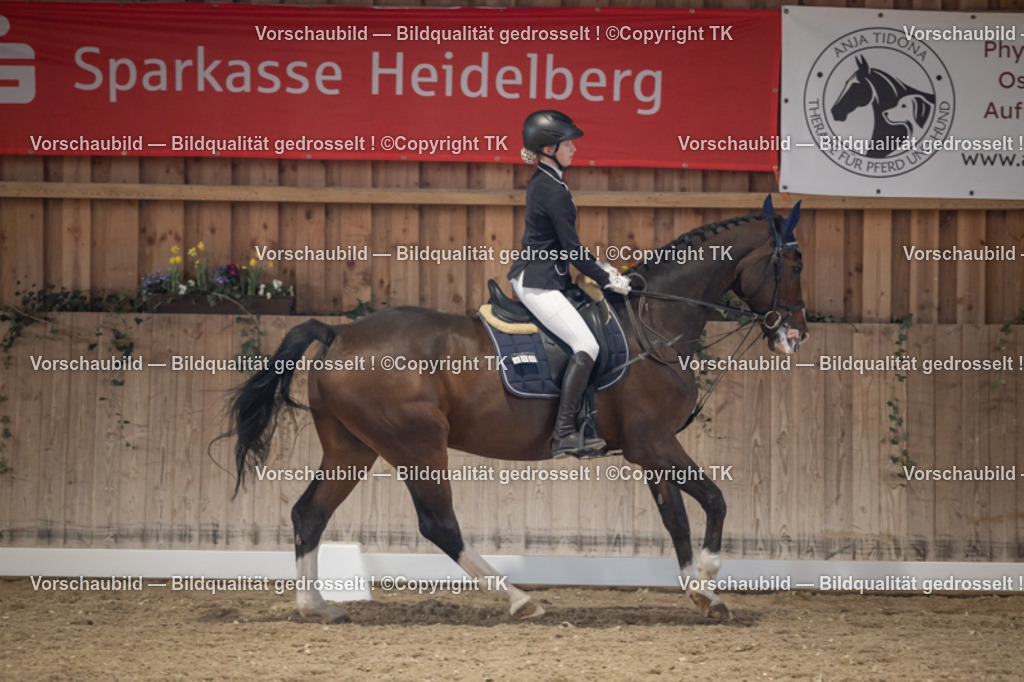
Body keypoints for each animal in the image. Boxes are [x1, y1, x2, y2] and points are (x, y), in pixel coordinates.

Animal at [227, 198, 808, 623]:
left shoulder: (650, 448)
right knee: (439, 524)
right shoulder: (653, 443)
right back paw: (519, 599)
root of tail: (338, 333)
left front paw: (700, 592)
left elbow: (677, 517)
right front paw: (709, 575)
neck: (654, 324)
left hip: (352, 449)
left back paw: (316, 606)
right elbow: (714, 499)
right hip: (415, 445)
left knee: (310, 513)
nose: (796, 333)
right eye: (795, 262)